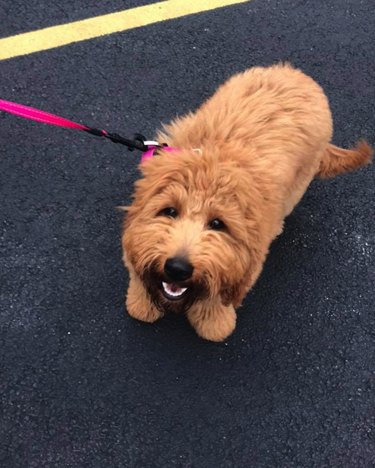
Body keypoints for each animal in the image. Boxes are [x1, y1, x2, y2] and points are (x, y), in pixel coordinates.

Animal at [121, 63, 374, 340]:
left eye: (217, 224)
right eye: (169, 211)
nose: (178, 268)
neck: (214, 161)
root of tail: (295, 72)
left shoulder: (248, 254)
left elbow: (219, 297)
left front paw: (215, 324)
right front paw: (141, 304)